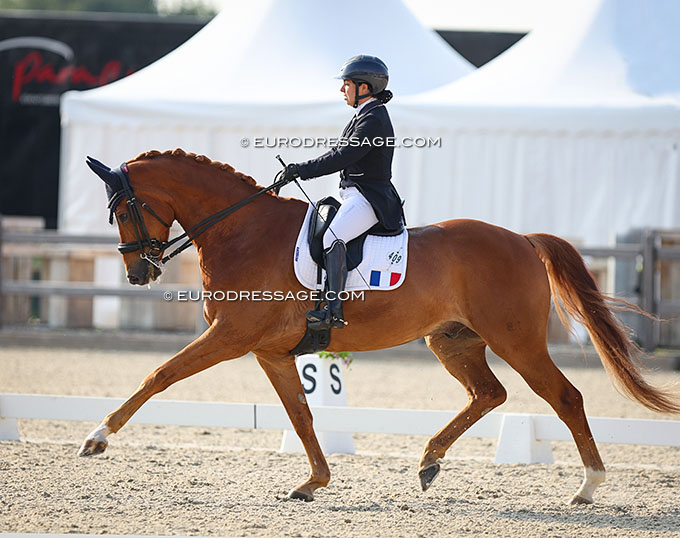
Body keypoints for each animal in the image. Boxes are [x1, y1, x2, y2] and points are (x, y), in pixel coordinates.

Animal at [81, 148, 680, 502]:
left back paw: (589, 487)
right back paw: (429, 461)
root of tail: (522, 239)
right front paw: (314, 482)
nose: (138, 272)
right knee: (489, 394)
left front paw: (97, 438)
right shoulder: (269, 351)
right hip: (453, 341)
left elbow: (159, 376)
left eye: (123, 209)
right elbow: (301, 417)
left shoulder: (229, 337)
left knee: (565, 397)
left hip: (518, 340)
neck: (241, 230)